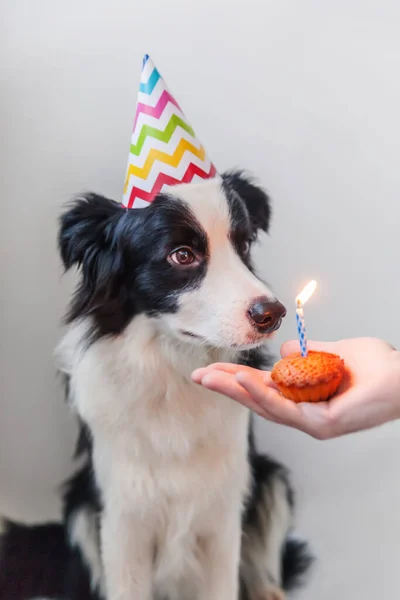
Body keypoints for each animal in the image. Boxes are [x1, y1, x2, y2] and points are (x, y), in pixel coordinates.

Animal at [0, 169, 312, 600]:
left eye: (244, 244)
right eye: (181, 255)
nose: (275, 313)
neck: (172, 371)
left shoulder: (222, 508)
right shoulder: (122, 516)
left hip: (270, 479)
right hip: (80, 506)